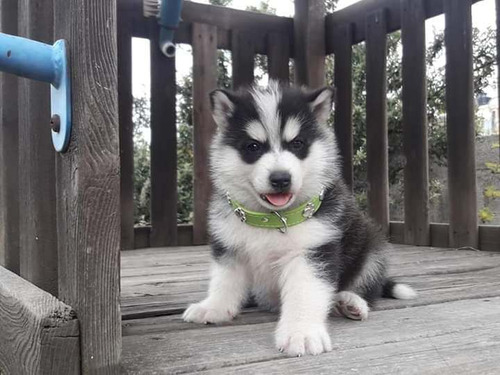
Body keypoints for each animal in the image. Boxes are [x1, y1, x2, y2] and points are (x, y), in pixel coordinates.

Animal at [182, 81, 416, 356]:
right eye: (253, 146)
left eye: (297, 144)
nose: (281, 178)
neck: (271, 219)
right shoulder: (230, 245)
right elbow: (224, 280)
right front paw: (213, 307)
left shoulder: (313, 250)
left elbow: (304, 293)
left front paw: (302, 332)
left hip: (372, 249)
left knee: (368, 286)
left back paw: (350, 301)